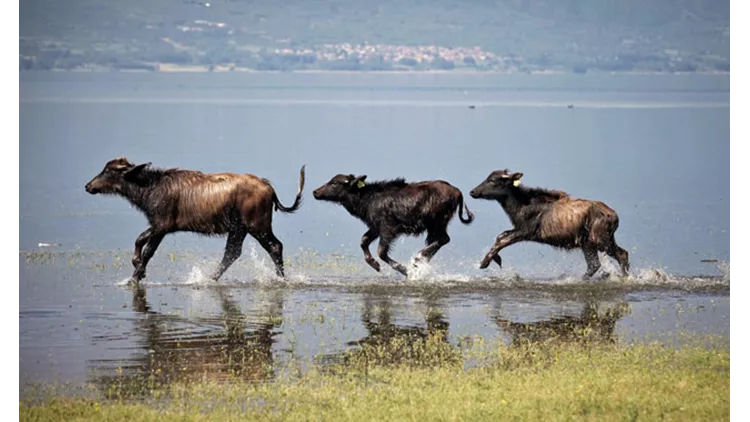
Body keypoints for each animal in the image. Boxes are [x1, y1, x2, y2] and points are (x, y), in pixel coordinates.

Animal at [83, 157, 304, 284]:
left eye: (108, 170)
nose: (88, 186)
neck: (148, 189)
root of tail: (270, 189)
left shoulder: (162, 226)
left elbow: (148, 251)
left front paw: (136, 276)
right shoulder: (159, 225)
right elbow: (139, 239)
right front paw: (137, 266)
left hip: (257, 226)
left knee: (275, 246)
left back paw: (281, 278)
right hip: (239, 228)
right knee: (232, 253)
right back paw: (210, 278)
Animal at [312, 172, 476, 276]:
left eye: (334, 183)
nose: (315, 192)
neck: (366, 200)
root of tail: (457, 192)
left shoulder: (388, 229)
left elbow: (381, 252)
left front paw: (406, 271)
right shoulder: (375, 227)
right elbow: (363, 241)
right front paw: (375, 265)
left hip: (437, 222)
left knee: (443, 239)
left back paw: (418, 259)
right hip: (435, 225)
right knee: (439, 240)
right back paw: (421, 261)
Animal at [472, 168, 632, 280]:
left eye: (493, 180)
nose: (472, 192)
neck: (517, 207)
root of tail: (615, 217)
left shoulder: (527, 231)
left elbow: (503, 240)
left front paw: (484, 263)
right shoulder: (518, 229)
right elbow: (501, 236)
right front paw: (495, 259)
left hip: (598, 240)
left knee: (615, 256)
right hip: (592, 242)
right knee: (604, 261)